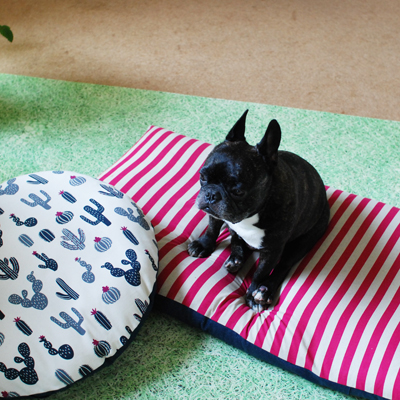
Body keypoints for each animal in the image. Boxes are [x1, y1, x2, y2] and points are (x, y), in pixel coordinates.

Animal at [188, 110, 330, 312]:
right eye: (202, 176)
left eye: (237, 191)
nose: (211, 195)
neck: (250, 215)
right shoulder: (215, 216)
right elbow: (212, 228)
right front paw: (204, 245)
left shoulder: (272, 250)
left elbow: (261, 272)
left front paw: (252, 295)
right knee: (236, 240)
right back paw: (235, 259)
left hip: (305, 240)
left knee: (283, 265)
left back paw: (265, 291)